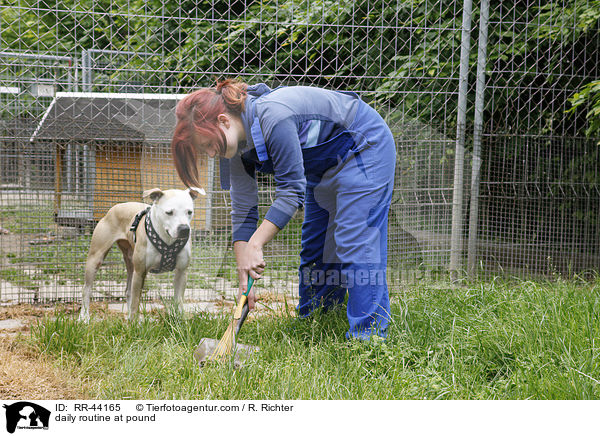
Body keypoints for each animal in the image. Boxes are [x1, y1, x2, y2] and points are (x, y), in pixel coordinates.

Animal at [78, 186, 205, 322]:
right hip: (96, 258)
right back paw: (84, 316)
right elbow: (135, 302)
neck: (167, 239)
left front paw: (179, 321)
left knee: (128, 291)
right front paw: (134, 324)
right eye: (169, 212)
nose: (184, 229)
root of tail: (116, 207)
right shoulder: (140, 272)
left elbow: (179, 301)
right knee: (86, 289)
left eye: (189, 212)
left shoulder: (181, 272)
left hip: (131, 263)